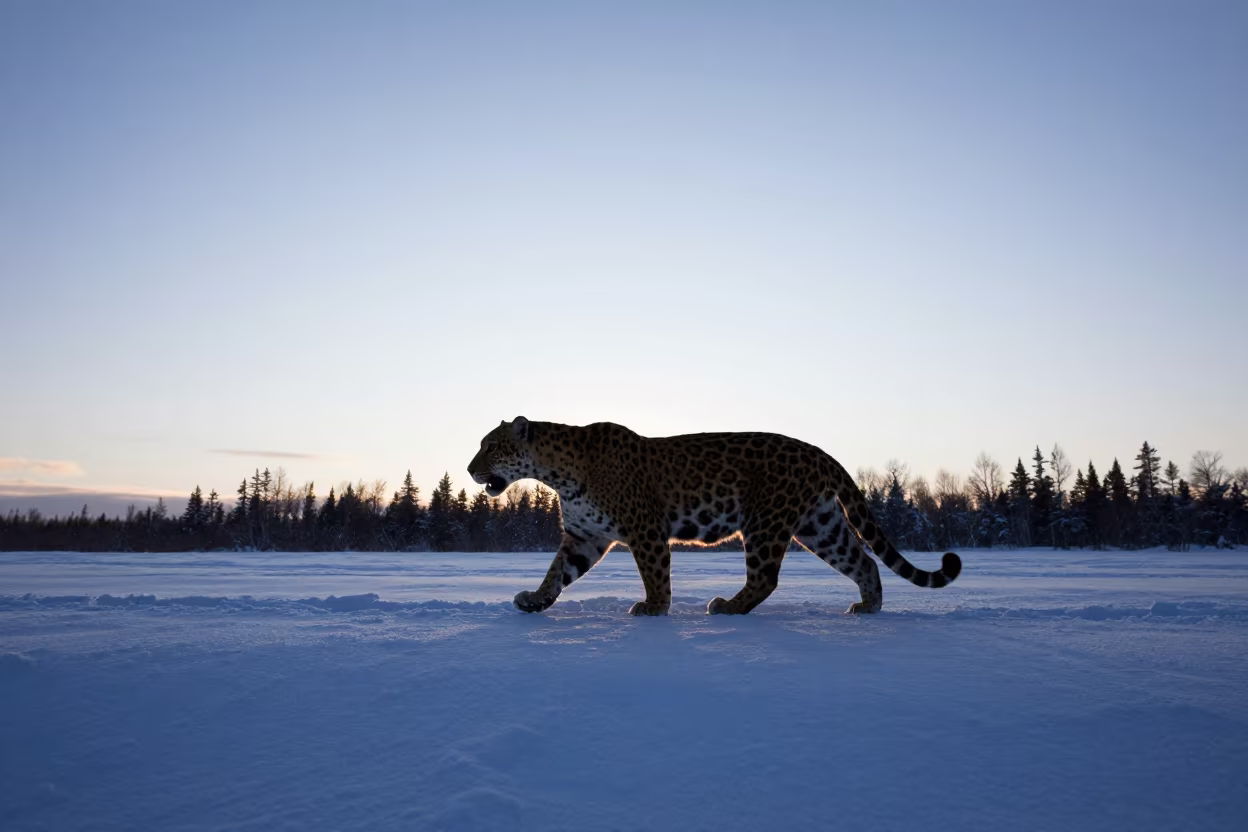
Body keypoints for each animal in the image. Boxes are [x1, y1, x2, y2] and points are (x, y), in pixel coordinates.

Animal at [467, 417, 962, 616]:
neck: (557, 473)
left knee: (766, 578)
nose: (470, 469)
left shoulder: (645, 530)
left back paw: (726, 607)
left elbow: (655, 574)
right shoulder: (583, 537)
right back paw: (868, 607)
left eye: (492, 446)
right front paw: (535, 600)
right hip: (820, 525)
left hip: (765, 523)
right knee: (864, 560)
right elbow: (556, 572)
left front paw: (653, 608)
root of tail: (820, 451)